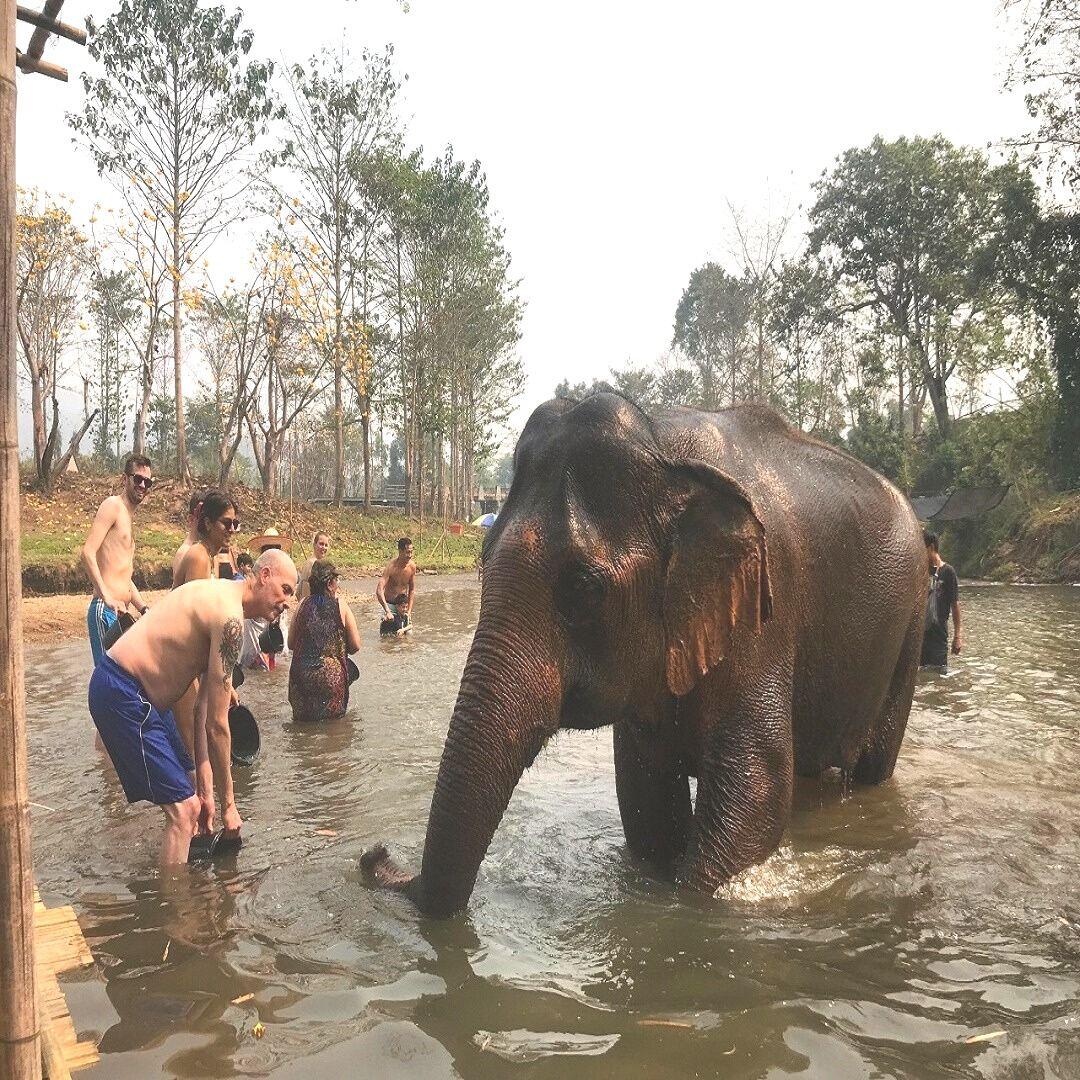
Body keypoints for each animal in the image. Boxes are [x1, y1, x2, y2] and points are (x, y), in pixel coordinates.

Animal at [363, 393, 927, 917]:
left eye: (583, 586)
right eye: (481, 559)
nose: (376, 853)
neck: (664, 446)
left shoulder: (763, 615)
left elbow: (758, 795)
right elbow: (646, 799)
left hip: (912, 625)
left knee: (872, 764)